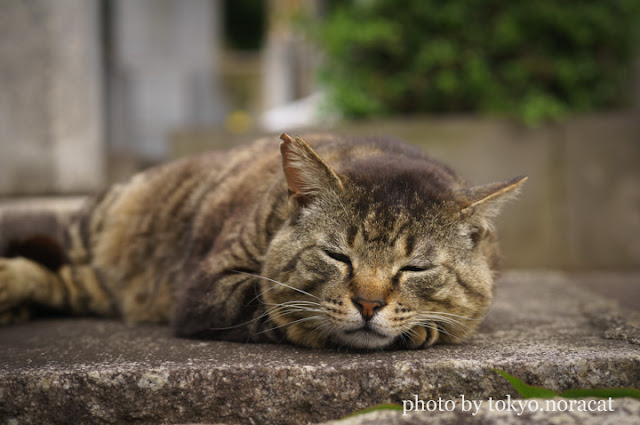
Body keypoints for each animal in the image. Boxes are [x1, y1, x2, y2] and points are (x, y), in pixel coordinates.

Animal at [0, 132, 524, 348]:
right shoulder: (207, 289)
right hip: (92, 223)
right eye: (337, 256)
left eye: (415, 268)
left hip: (93, 285)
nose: (369, 304)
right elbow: (276, 303)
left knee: (59, 280)